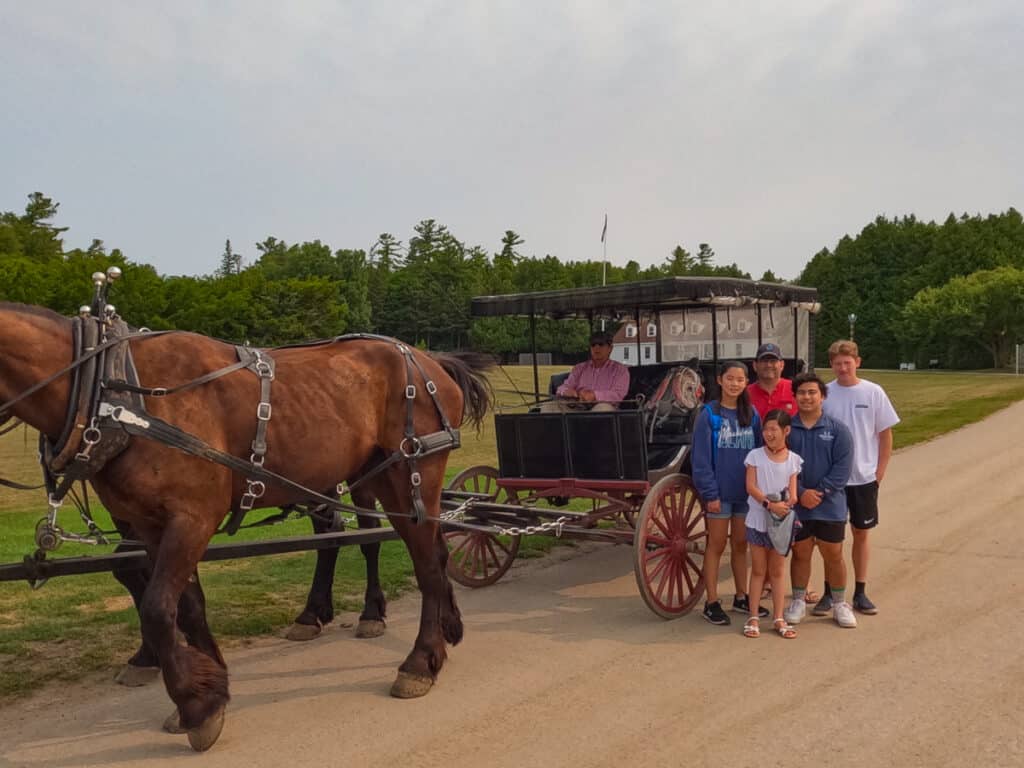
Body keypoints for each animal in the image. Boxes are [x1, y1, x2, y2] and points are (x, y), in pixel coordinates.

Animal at [0, 302, 491, 751]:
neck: (113, 391)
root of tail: (432, 360)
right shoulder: (151, 524)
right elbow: (186, 605)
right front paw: (211, 686)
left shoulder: (192, 518)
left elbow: (158, 609)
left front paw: (195, 705)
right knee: (423, 550)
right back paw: (440, 628)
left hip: (408, 475)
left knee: (423, 564)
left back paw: (419, 659)